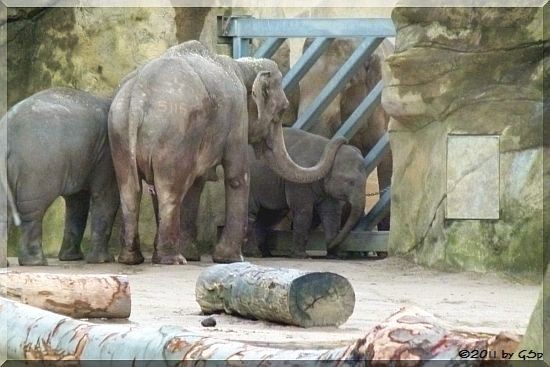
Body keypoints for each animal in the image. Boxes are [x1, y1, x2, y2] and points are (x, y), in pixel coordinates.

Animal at [0, 89, 119, 268]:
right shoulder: (106, 155)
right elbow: (107, 197)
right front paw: (103, 261)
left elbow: (77, 202)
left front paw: (72, 258)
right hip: (38, 167)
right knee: (32, 211)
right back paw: (36, 262)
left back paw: (5, 263)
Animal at [109, 39, 348, 264]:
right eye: (282, 110)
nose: (343, 140)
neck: (241, 65)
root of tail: (138, 97)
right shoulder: (237, 114)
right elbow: (237, 175)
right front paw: (231, 259)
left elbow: (198, 182)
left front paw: (195, 255)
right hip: (173, 134)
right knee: (170, 190)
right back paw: (172, 259)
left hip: (121, 132)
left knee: (131, 190)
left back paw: (132, 258)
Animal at [245, 129, 366, 258]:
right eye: (350, 182)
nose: (345, 140)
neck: (325, 148)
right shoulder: (298, 182)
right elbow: (304, 211)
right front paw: (302, 255)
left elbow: (331, 212)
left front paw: (333, 255)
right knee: (251, 213)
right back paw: (254, 253)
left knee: (268, 216)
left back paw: (264, 253)